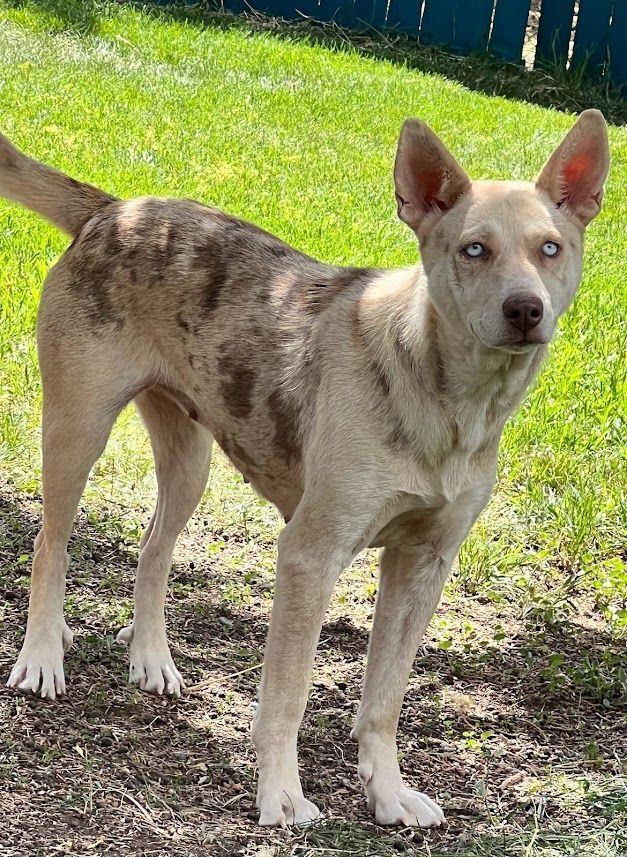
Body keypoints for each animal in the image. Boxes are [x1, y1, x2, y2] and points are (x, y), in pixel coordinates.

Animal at [0, 110, 608, 824]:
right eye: (473, 250)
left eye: (550, 248)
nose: (525, 310)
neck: (446, 398)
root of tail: (116, 210)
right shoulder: (310, 556)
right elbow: (287, 697)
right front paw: (282, 794)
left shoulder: (423, 564)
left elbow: (383, 702)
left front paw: (388, 793)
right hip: (78, 428)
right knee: (51, 543)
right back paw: (42, 653)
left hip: (190, 459)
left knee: (153, 551)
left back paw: (150, 657)